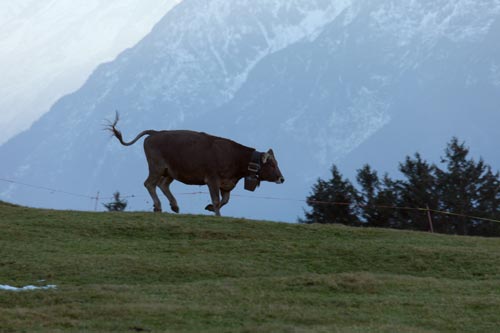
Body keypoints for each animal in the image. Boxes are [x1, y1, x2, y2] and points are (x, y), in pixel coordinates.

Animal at [107, 113, 284, 215]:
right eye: (272, 165)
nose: (282, 179)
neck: (235, 157)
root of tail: (155, 132)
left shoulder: (226, 184)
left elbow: (224, 201)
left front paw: (210, 208)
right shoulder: (212, 180)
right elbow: (217, 200)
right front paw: (217, 214)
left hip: (170, 171)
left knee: (163, 185)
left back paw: (174, 206)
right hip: (156, 167)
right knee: (149, 184)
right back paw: (158, 206)